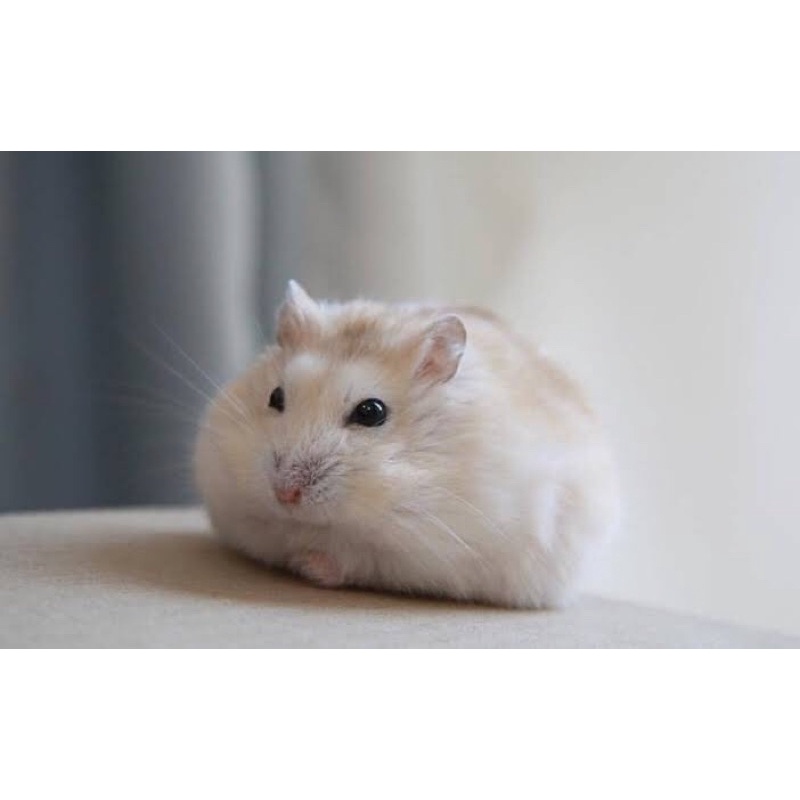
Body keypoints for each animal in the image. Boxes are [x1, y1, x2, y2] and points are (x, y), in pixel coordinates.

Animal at [194, 281, 620, 608]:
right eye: (275, 397)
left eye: (371, 412)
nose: (285, 494)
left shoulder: (432, 552)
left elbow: (356, 558)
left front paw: (308, 563)